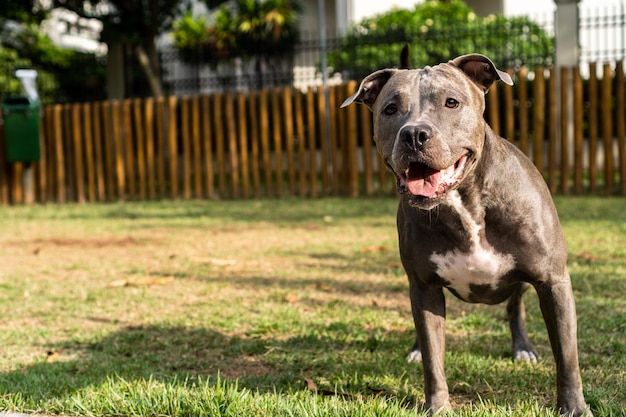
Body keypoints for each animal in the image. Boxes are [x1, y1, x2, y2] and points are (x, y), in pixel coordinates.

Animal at [342, 53, 588, 414]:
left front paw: (574, 407)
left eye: (451, 102)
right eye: (390, 109)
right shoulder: (425, 287)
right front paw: (438, 406)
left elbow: (567, 357)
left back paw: (522, 348)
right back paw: (415, 350)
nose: (413, 134)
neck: (465, 204)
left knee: (515, 307)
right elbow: (434, 359)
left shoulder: (553, 281)